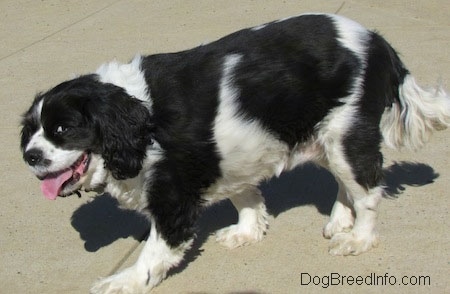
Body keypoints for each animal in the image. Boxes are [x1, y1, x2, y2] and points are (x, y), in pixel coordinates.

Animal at [20, 13, 446, 294]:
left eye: (62, 129)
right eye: (32, 131)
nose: (30, 156)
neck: (140, 117)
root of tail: (377, 41)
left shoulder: (173, 200)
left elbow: (153, 250)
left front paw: (125, 281)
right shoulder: (227, 156)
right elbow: (245, 195)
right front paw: (248, 231)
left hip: (346, 134)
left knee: (368, 189)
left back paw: (358, 237)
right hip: (323, 135)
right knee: (348, 183)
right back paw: (341, 219)